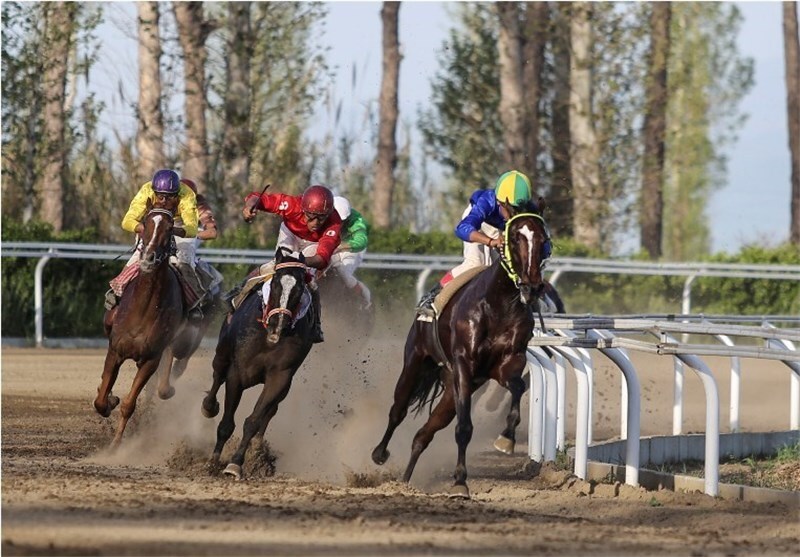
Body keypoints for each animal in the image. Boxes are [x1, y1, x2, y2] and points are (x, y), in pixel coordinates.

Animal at [200, 247, 316, 478]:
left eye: (299, 288)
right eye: (277, 283)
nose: (279, 323)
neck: (268, 337)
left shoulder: (280, 378)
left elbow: (254, 420)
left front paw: (235, 464)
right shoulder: (237, 373)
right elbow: (226, 423)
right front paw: (213, 461)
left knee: (271, 410)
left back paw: (258, 450)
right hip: (222, 352)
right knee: (217, 375)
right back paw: (209, 406)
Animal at [372, 202, 552, 498]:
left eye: (543, 238)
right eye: (515, 236)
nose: (533, 286)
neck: (499, 303)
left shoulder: (506, 363)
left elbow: (518, 388)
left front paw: (506, 438)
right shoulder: (463, 365)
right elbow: (464, 427)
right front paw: (459, 482)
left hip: (451, 389)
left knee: (423, 434)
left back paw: (405, 481)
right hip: (416, 361)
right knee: (398, 409)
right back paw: (379, 453)